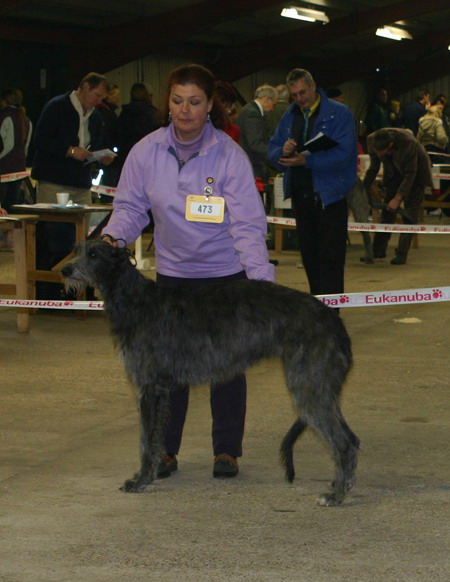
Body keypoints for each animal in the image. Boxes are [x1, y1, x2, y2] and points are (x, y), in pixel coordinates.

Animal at [61, 241, 360, 506]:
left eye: (94, 254)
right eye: (76, 249)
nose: (64, 270)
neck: (135, 301)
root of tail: (334, 321)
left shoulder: (149, 387)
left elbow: (146, 441)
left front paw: (140, 481)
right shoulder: (161, 390)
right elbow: (156, 438)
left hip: (308, 385)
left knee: (345, 442)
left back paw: (336, 496)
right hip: (318, 385)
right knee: (351, 439)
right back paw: (339, 485)